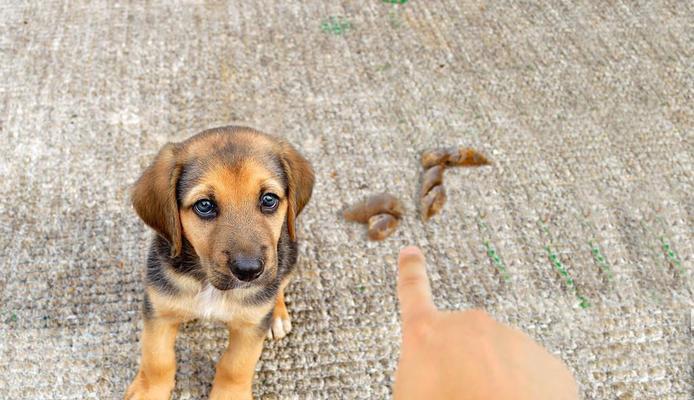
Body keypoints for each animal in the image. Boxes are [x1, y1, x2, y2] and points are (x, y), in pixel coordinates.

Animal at [126, 126, 316, 400]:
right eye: (204, 205)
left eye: (269, 199)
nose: (249, 271)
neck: (208, 283)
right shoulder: (158, 311)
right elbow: (157, 360)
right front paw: (149, 391)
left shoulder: (249, 326)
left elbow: (235, 366)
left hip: (289, 254)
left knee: (279, 284)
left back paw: (277, 314)